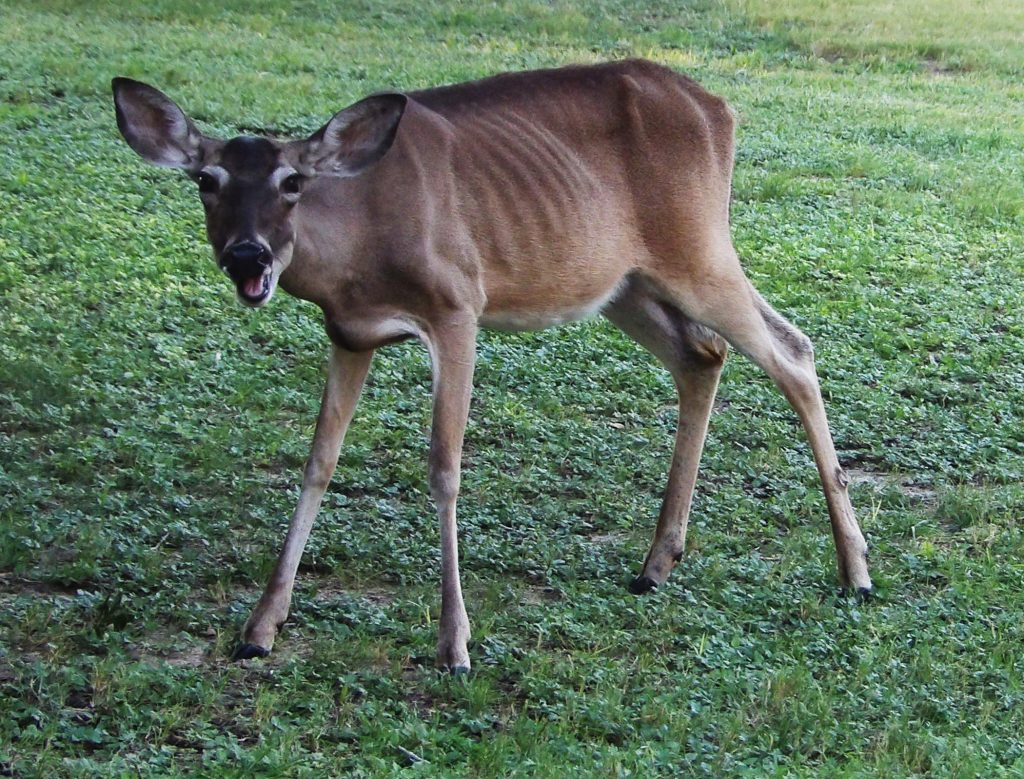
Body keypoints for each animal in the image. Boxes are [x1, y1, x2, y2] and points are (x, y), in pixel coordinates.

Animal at [112, 57, 872, 671]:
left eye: (291, 180)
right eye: (206, 180)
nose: (249, 255)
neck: (357, 251)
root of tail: (721, 109)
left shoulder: (457, 305)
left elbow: (444, 467)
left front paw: (454, 643)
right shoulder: (350, 334)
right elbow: (318, 462)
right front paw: (260, 627)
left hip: (699, 244)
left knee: (793, 351)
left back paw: (855, 569)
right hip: (625, 282)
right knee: (702, 355)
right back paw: (656, 562)